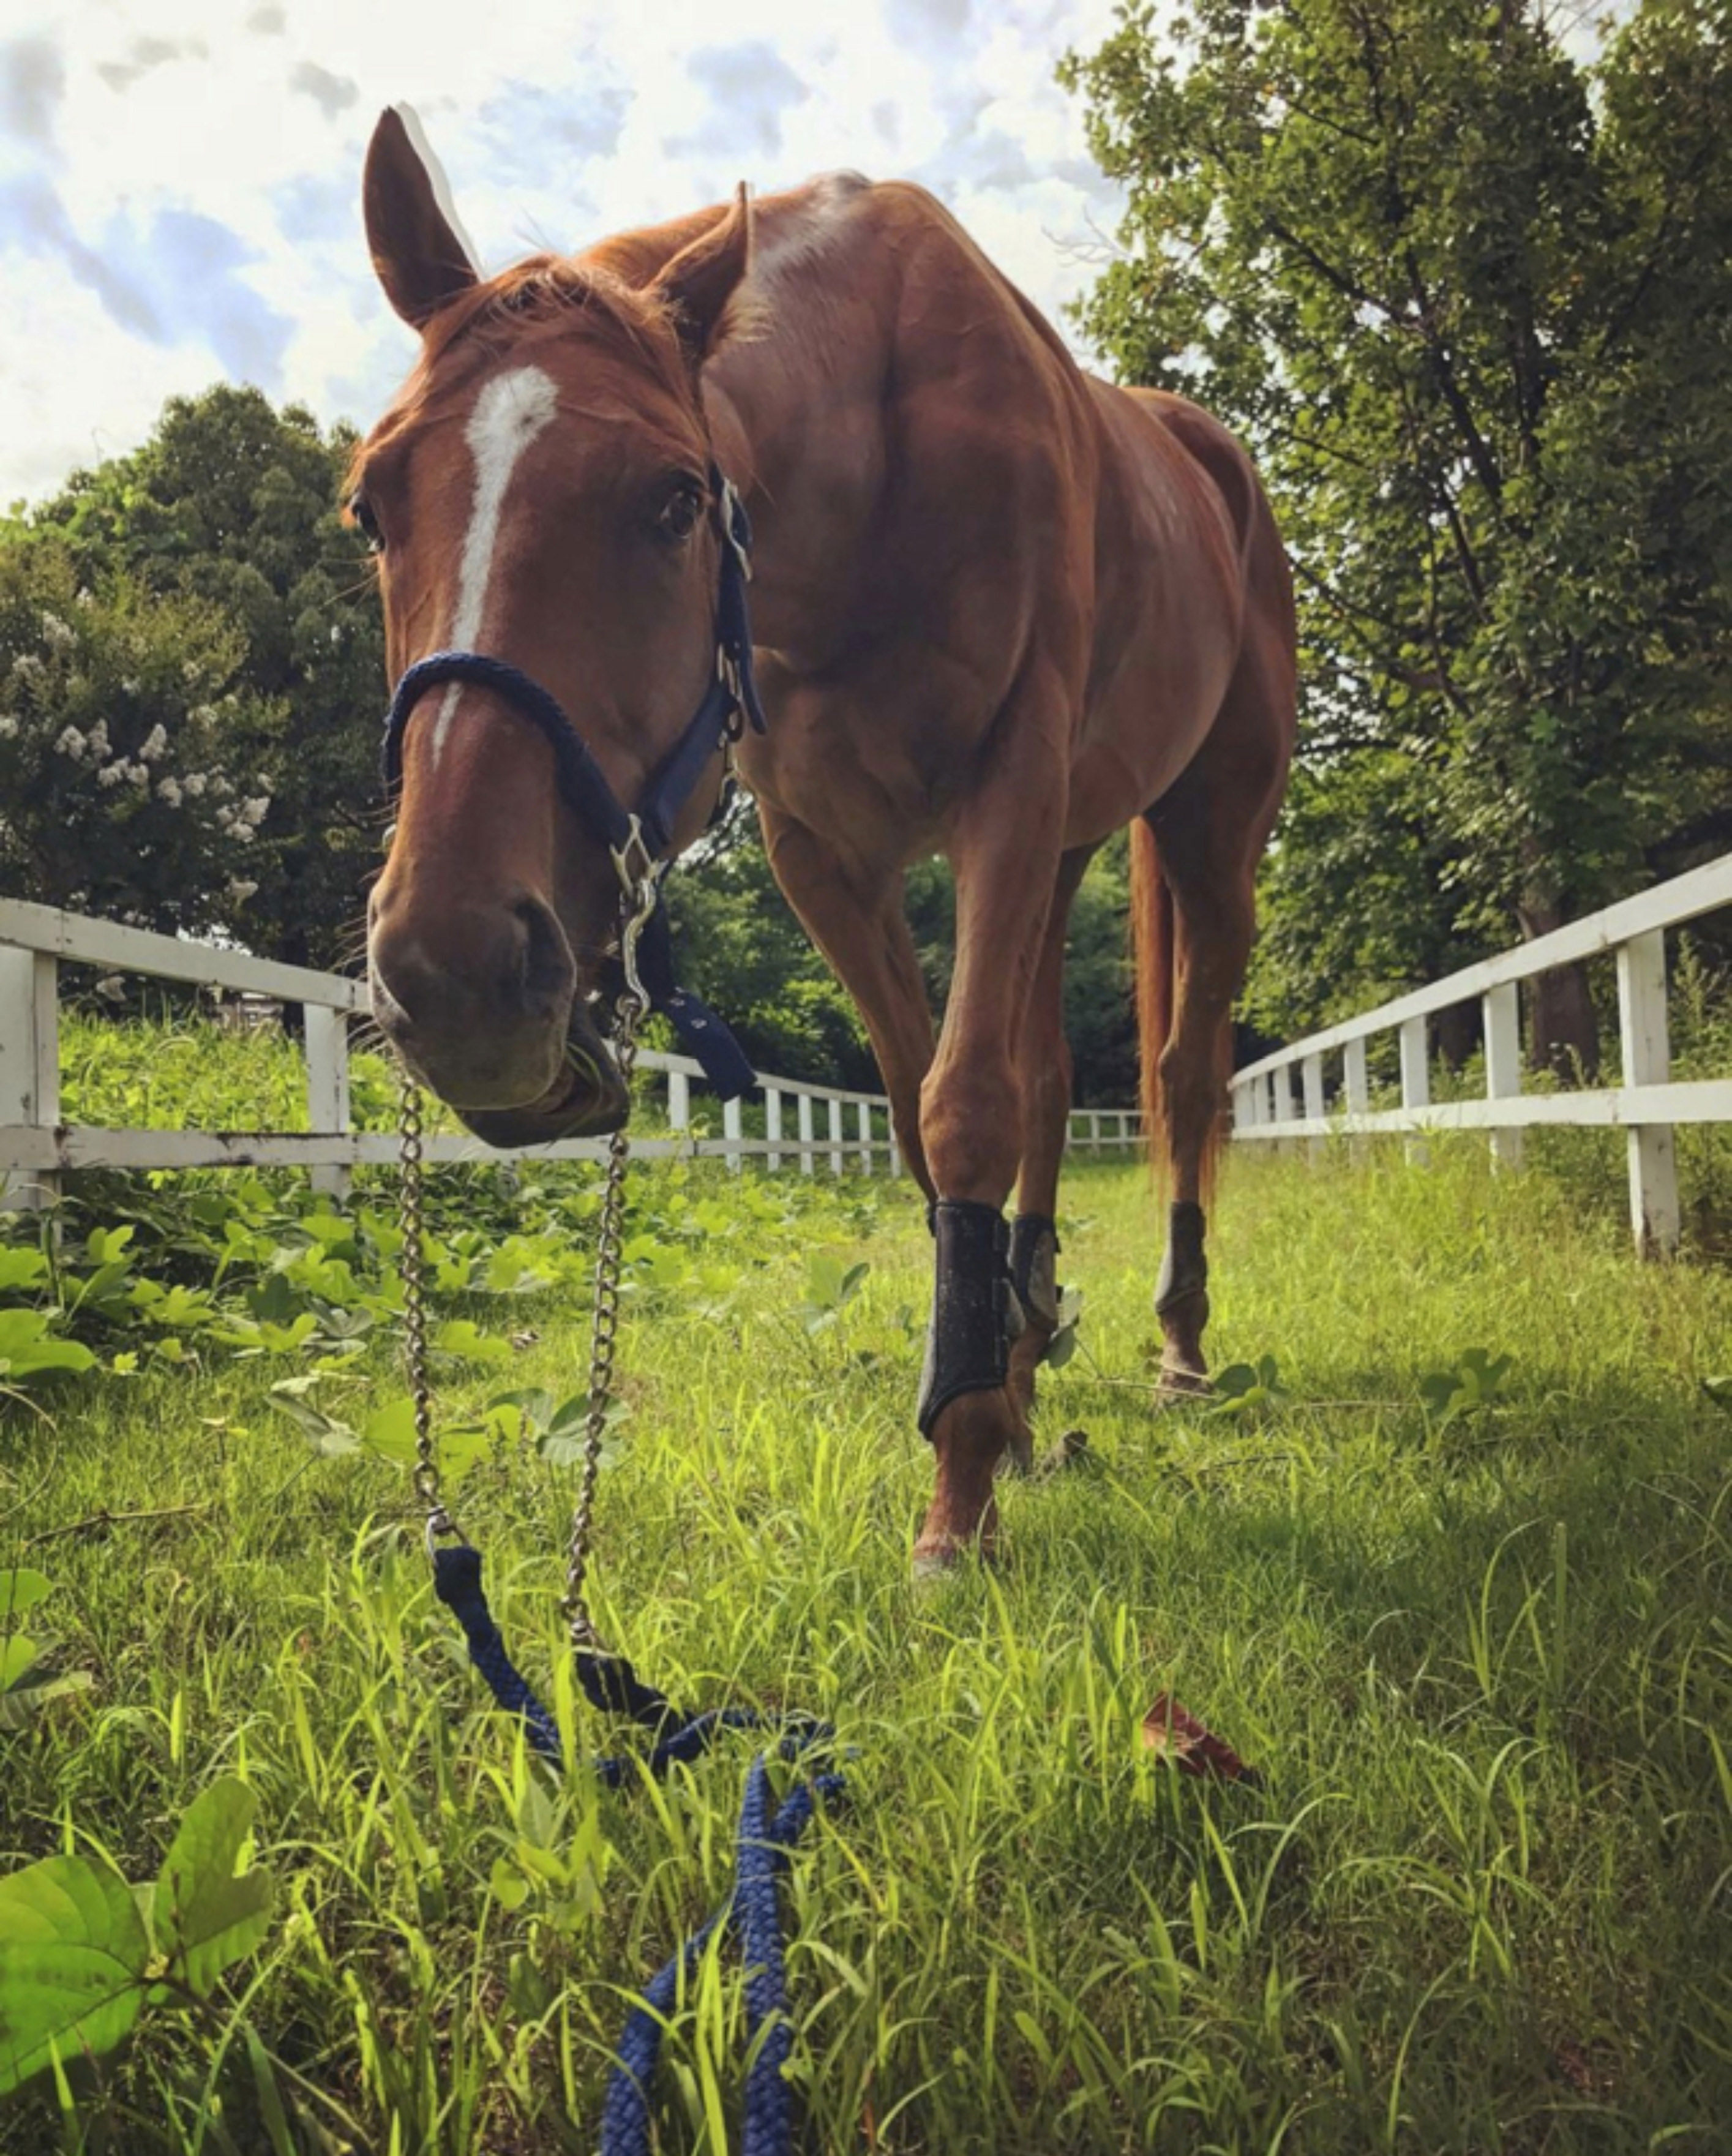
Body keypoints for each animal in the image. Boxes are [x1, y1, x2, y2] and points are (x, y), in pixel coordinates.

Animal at [358, 105, 1294, 1569]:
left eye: (675, 499)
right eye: (371, 504)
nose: (453, 974)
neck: (872, 469)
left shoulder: (1003, 793)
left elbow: (965, 1108)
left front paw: (959, 1488)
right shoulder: (823, 854)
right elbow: (926, 1118)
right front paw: (991, 1403)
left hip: (1212, 831)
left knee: (1187, 1077)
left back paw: (1178, 1345)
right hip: (1068, 850)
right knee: (1047, 1071)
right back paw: (1025, 1342)